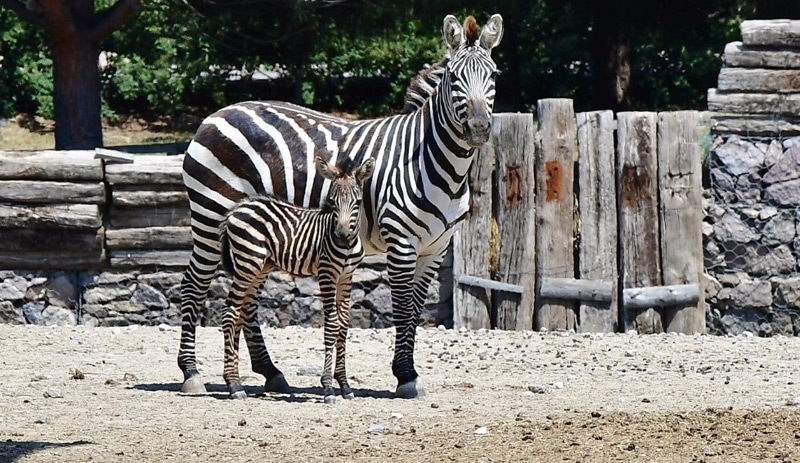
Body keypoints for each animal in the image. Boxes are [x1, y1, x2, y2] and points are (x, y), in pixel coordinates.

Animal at [219, 156, 376, 402]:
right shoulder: (327, 274)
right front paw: (328, 387)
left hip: (259, 267)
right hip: (247, 262)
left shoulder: (346, 276)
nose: (341, 237)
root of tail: (238, 207)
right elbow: (332, 325)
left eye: (357, 202)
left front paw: (345, 385)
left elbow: (343, 325)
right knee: (230, 312)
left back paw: (234, 380)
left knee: (240, 314)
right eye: (332, 202)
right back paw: (234, 386)